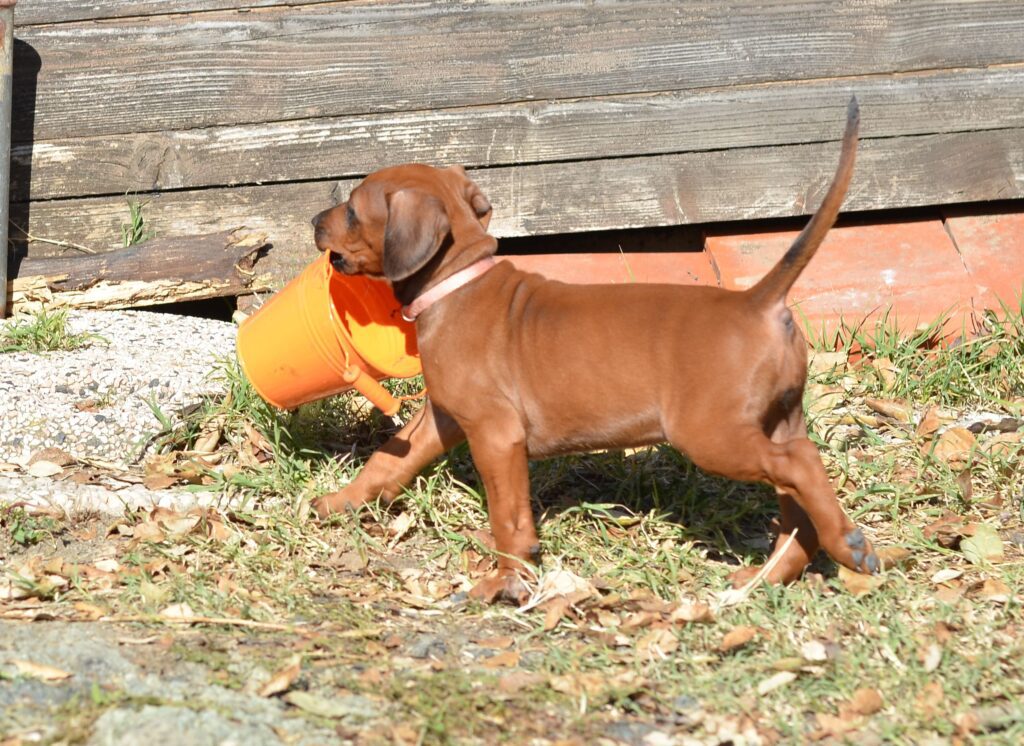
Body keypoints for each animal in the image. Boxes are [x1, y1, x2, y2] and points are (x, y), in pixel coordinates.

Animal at [313, 98, 880, 601]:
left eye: (352, 210)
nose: (316, 220)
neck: (457, 282)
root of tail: (756, 301)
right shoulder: (446, 416)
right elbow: (389, 458)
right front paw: (341, 502)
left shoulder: (495, 434)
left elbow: (508, 515)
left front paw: (507, 579)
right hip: (779, 417)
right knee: (796, 503)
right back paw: (774, 573)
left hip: (710, 433)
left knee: (801, 464)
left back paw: (848, 546)